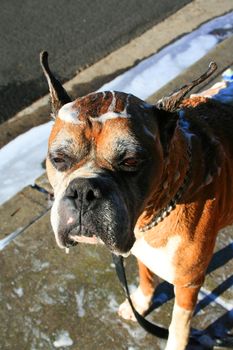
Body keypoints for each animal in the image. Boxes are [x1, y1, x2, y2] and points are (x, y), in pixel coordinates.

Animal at [41, 52, 233, 350]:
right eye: (58, 159)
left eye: (131, 161)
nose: (84, 191)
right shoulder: (143, 249)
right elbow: (146, 275)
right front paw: (141, 302)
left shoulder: (188, 283)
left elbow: (179, 323)